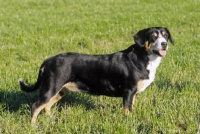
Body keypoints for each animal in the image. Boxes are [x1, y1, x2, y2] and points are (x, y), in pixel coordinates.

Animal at [19, 26, 174, 124]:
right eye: (153, 37)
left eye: (165, 36)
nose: (164, 44)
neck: (143, 57)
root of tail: (47, 60)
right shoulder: (128, 91)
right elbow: (127, 110)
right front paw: (129, 121)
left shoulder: (133, 94)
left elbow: (131, 108)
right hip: (51, 87)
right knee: (36, 106)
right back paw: (33, 125)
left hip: (60, 90)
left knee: (46, 106)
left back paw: (51, 119)